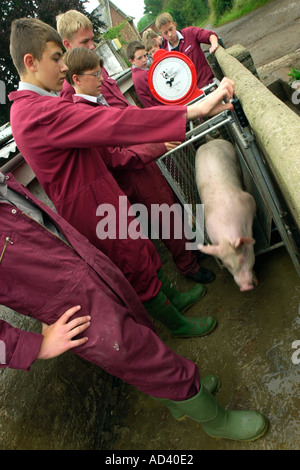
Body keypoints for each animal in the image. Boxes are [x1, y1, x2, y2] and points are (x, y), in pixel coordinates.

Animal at [196, 139, 256, 290]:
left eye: (243, 258)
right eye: (228, 265)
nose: (245, 287)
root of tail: (209, 141)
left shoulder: (249, 199)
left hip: (233, 153)